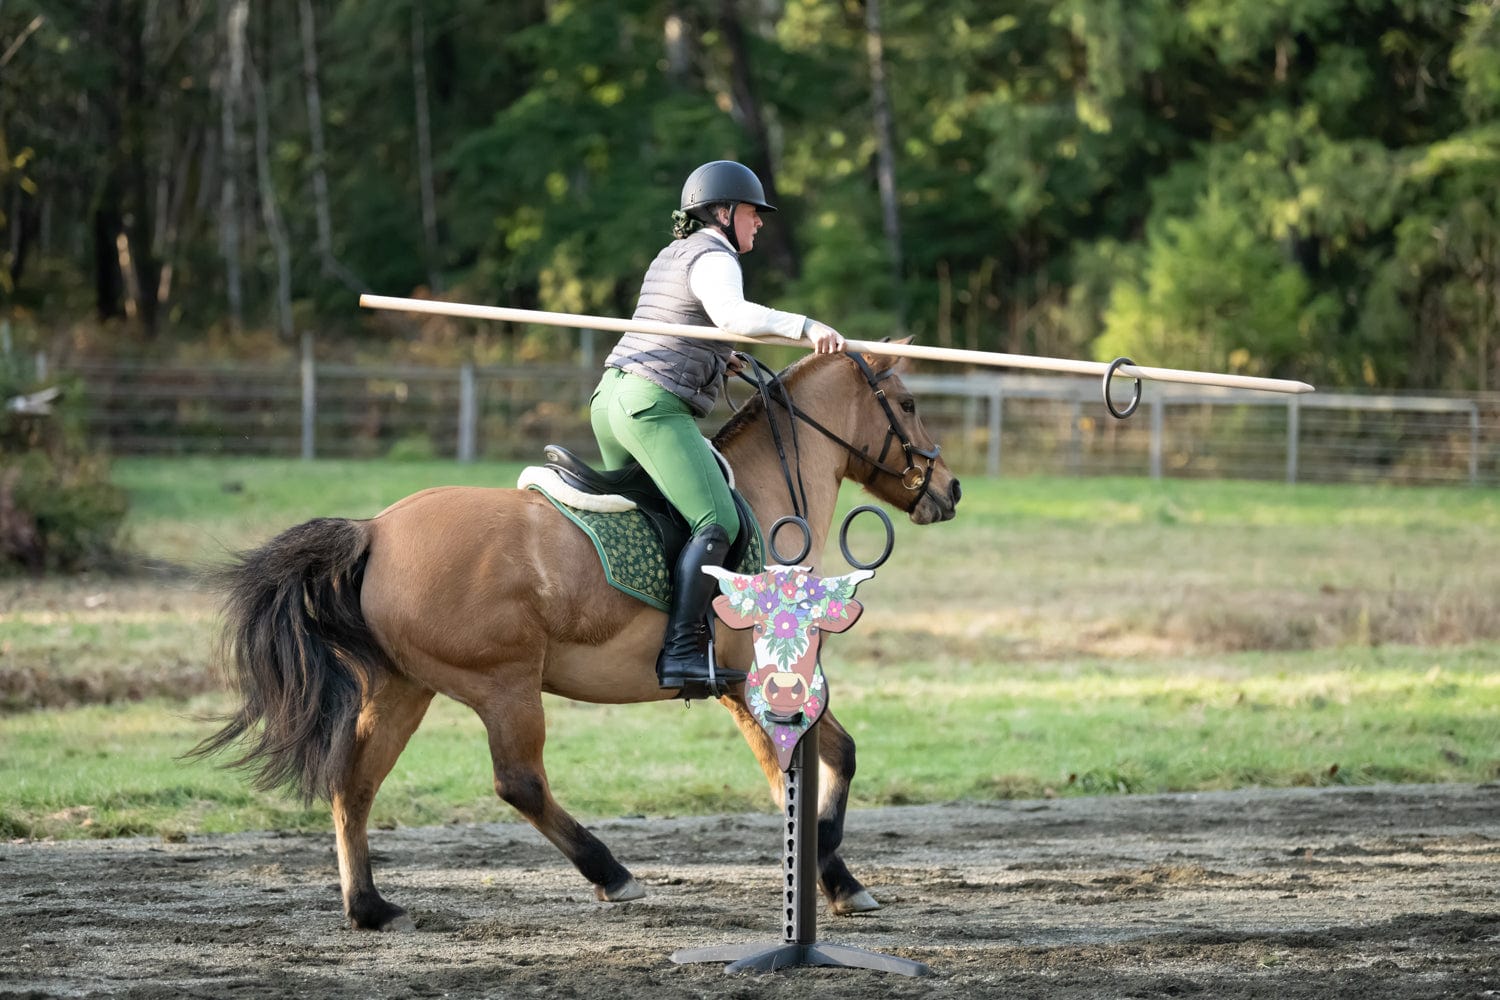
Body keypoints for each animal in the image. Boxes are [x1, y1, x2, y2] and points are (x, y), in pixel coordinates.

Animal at [191, 345, 962, 932]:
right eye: (909, 403)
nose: (950, 489)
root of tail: (375, 530)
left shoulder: (741, 691)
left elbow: (808, 769)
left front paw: (829, 874)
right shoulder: (755, 686)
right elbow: (827, 762)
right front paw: (832, 865)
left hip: (405, 688)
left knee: (354, 785)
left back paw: (372, 908)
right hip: (504, 685)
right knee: (519, 783)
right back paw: (611, 872)